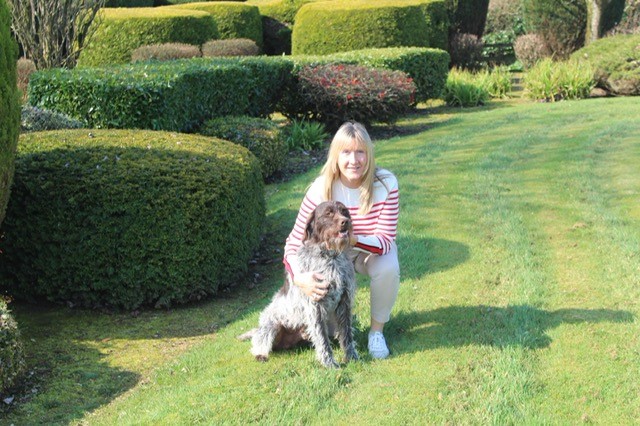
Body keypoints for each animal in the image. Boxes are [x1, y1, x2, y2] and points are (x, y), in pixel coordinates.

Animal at [241, 201, 358, 368]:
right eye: (328, 213)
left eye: (344, 211)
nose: (345, 221)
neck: (330, 257)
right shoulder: (315, 306)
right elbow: (322, 340)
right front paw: (329, 364)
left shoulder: (344, 302)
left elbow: (346, 333)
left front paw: (352, 357)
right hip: (271, 325)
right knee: (259, 340)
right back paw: (260, 354)